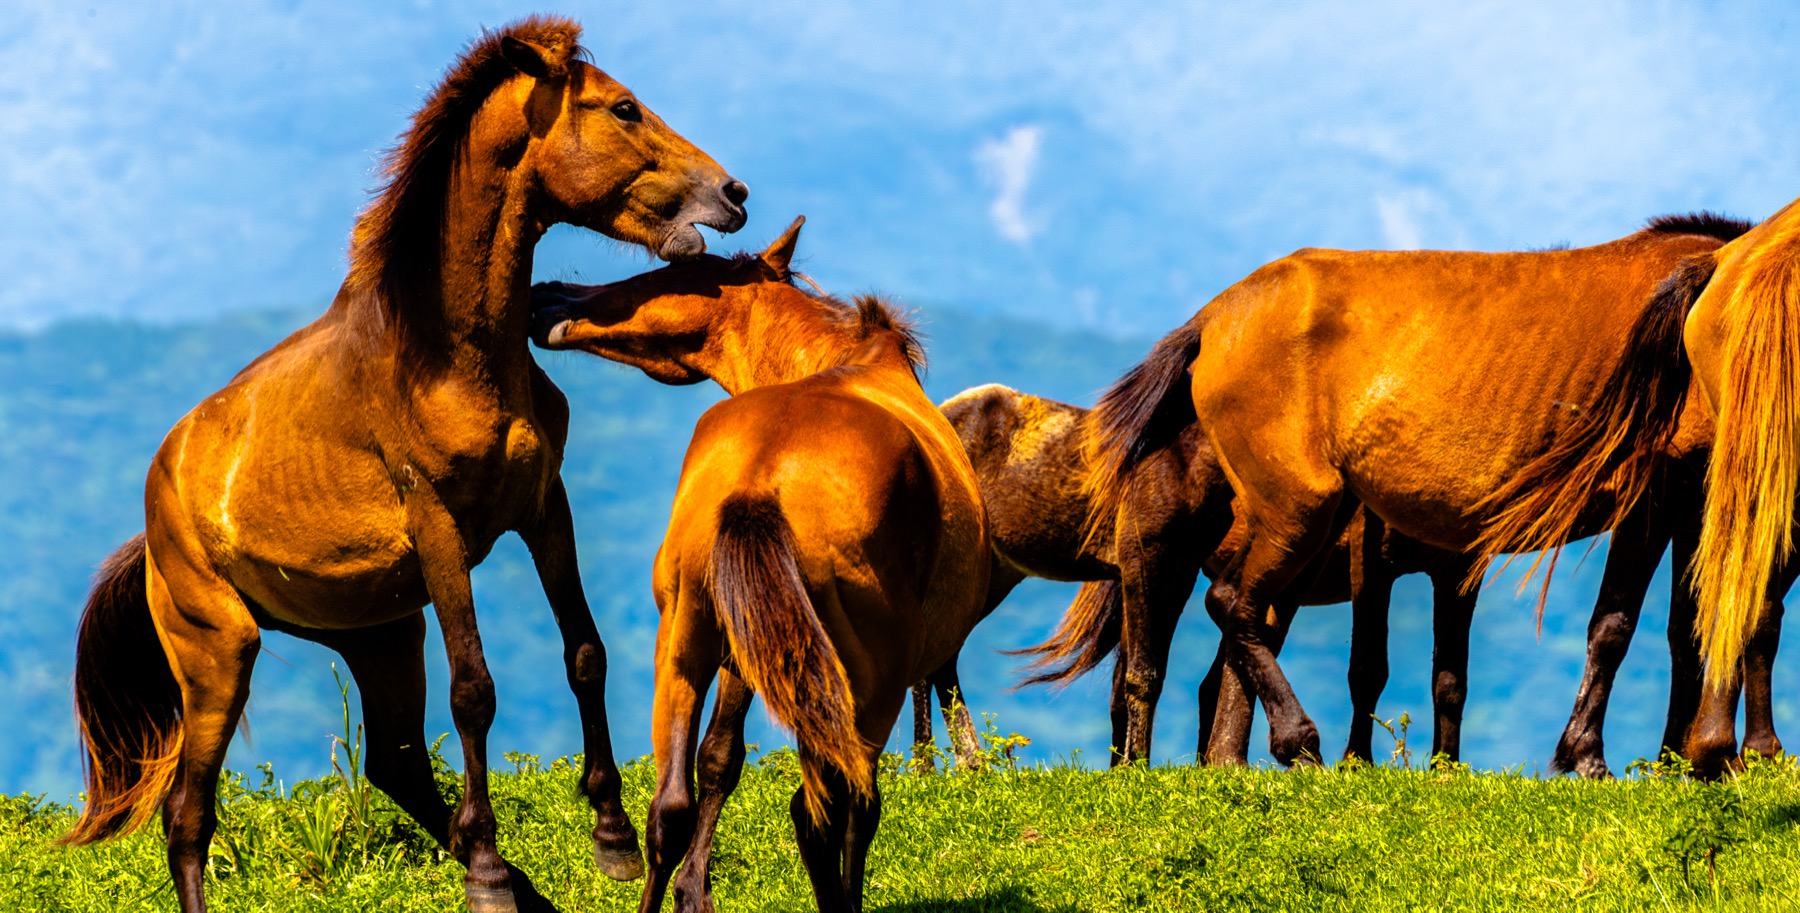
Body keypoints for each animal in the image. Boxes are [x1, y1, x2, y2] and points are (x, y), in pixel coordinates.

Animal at [62, 18, 747, 913]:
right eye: (623, 107)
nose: (732, 194)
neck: (449, 355)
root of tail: (151, 527)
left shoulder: (544, 505)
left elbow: (585, 653)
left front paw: (612, 836)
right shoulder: (438, 524)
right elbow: (475, 690)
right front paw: (491, 870)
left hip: (382, 634)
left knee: (395, 765)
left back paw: (520, 884)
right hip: (218, 650)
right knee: (187, 814)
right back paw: (493, 874)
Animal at [530, 216, 990, 913]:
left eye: (670, 274)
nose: (545, 296)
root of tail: (762, 478)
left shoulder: (741, 650)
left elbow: (715, 764)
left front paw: (694, 890)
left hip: (687, 645)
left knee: (670, 809)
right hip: (863, 685)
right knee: (835, 808)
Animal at [1081, 214, 1752, 771]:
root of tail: (1212, 318)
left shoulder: (1691, 504)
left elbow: (1686, 631)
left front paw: (1678, 762)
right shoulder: (1654, 499)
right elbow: (1612, 626)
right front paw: (1589, 756)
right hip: (1295, 510)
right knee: (1223, 611)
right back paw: (1295, 741)